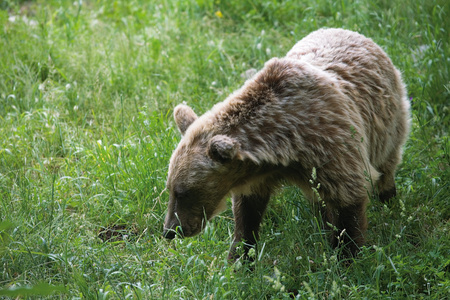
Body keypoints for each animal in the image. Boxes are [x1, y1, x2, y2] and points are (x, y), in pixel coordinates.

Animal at [163, 28, 412, 260]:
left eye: (183, 192)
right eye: (171, 188)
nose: (170, 230)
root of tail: (350, 31)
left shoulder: (333, 147)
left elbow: (349, 203)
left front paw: (347, 255)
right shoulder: (258, 175)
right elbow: (247, 214)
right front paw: (240, 257)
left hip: (387, 120)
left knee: (388, 160)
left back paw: (388, 198)